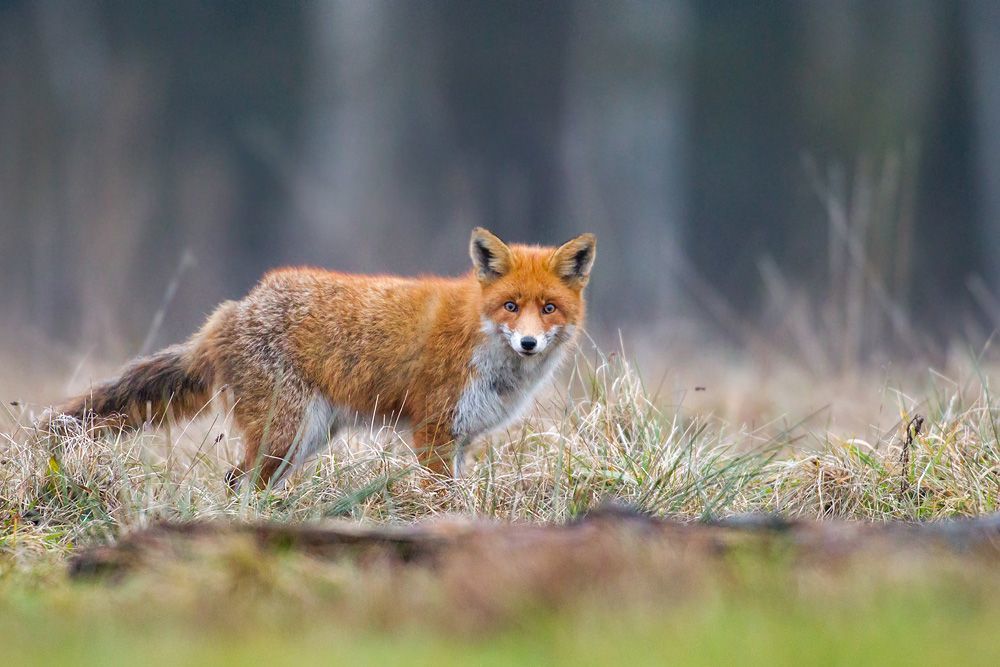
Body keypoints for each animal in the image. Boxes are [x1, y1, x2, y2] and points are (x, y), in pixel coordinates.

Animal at [50, 228, 596, 488]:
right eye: (511, 307)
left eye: (548, 308)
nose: (528, 343)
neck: (479, 337)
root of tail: (232, 310)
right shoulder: (433, 431)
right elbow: (439, 497)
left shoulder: (459, 439)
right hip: (286, 434)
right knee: (236, 482)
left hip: (304, 438)